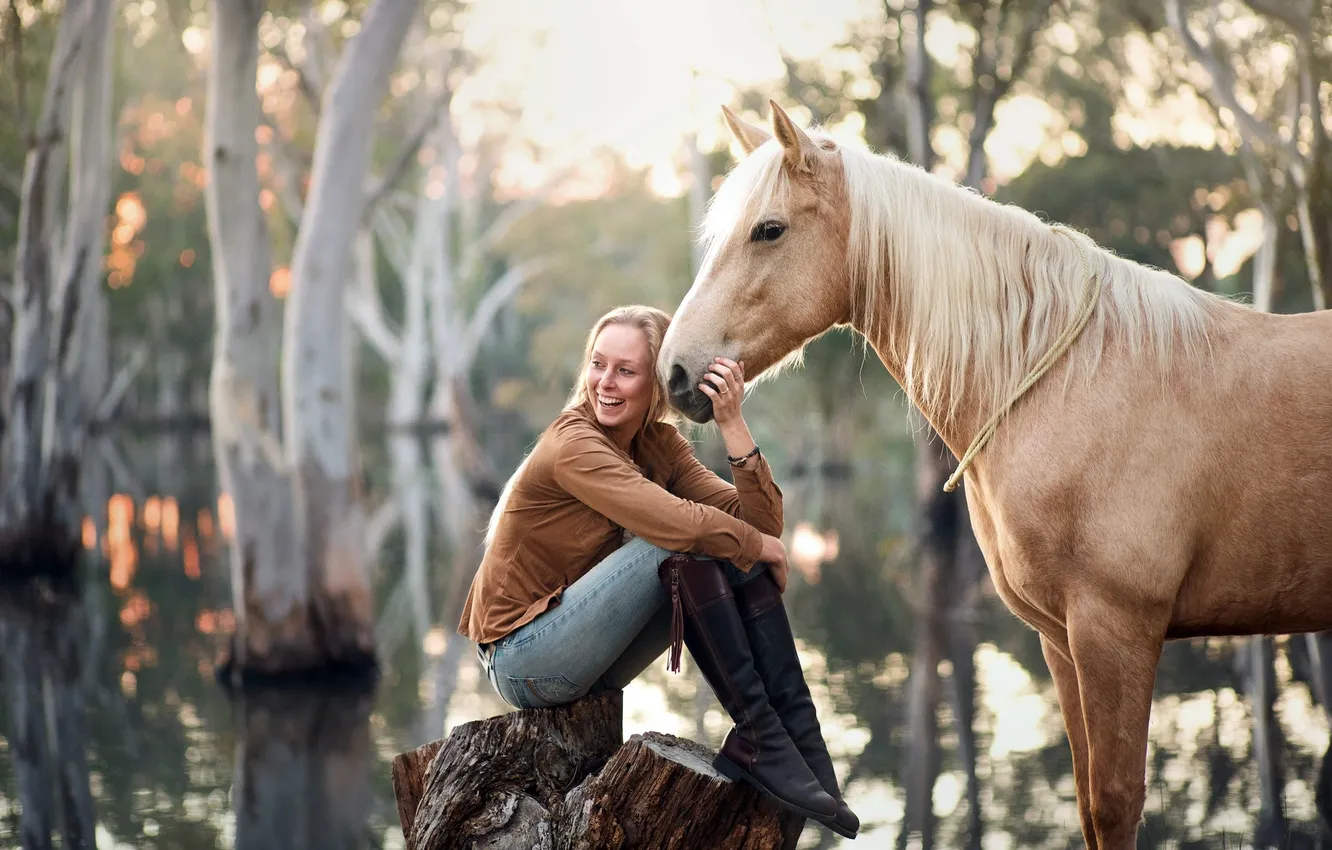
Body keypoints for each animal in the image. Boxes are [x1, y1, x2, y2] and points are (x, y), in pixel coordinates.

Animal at [657, 100, 1332, 849]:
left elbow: (1115, 801)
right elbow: (1090, 801)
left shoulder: (1117, 630)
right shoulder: (1062, 642)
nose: (675, 373)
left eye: (769, 229)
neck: (1070, 383)